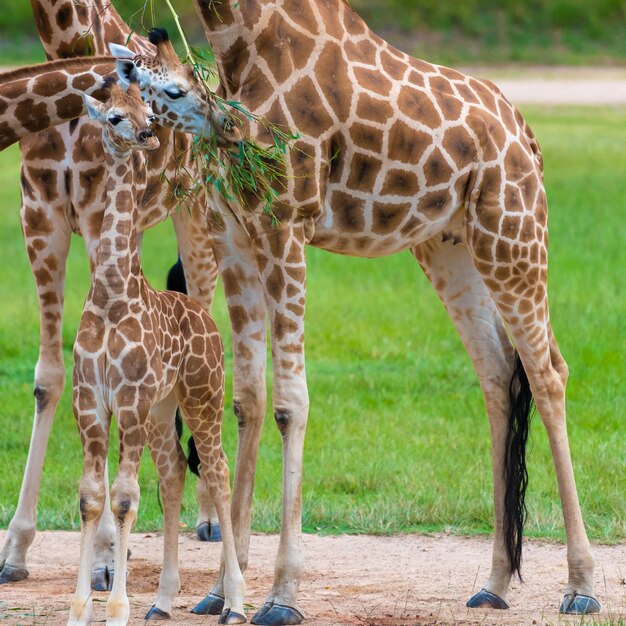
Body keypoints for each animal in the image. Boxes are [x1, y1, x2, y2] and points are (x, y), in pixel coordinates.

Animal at [67, 79, 244, 624]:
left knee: (218, 470)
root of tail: (207, 319)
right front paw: (80, 608)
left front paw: (116, 607)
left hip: (202, 396)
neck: (111, 295)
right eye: (114, 117)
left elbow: (124, 498)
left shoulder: (129, 400)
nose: (146, 135)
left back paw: (234, 602)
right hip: (165, 408)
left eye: (148, 110)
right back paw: (163, 601)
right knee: (172, 476)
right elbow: (91, 497)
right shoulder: (90, 401)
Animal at [116, 1, 600, 620]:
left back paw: (581, 586)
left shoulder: (285, 227)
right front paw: (222, 592)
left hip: (512, 234)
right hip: (448, 246)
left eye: (173, 91)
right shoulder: (235, 234)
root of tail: (529, 137)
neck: (240, 44)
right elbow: (247, 400)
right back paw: (494, 583)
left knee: (547, 372)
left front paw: (281, 595)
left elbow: (289, 403)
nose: (146, 130)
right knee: (497, 374)